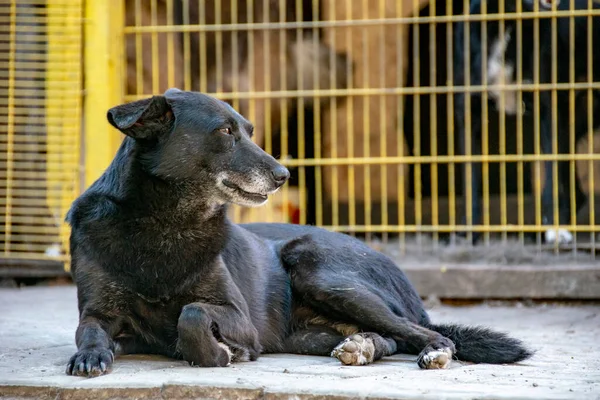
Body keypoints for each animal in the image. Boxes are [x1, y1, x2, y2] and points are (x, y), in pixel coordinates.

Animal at [65, 88, 532, 378]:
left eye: (248, 130)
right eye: (224, 131)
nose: (283, 176)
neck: (164, 223)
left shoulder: (237, 316)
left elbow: (192, 315)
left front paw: (221, 352)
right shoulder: (100, 312)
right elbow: (87, 329)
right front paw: (90, 355)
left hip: (317, 269)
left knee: (423, 334)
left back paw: (430, 350)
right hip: (309, 333)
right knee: (389, 338)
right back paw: (361, 346)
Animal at [454, 0, 600, 244]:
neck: (508, 23)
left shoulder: (549, 111)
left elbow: (552, 179)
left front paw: (556, 230)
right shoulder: (468, 114)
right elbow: (469, 182)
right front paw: (468, 232)